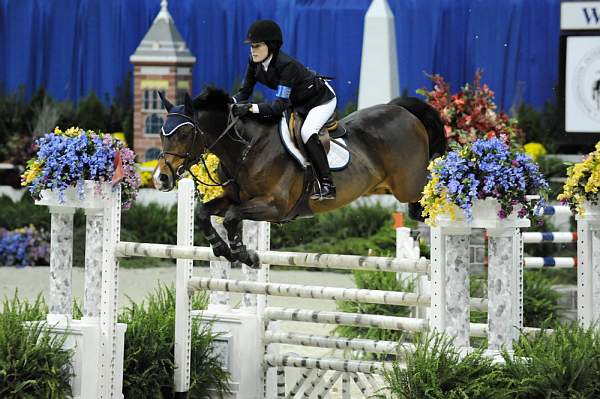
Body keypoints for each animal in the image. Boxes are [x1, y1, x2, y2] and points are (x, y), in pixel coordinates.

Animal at [155, 87, 446, 268]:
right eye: (161, 132)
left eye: (184, 134)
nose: (161, 178)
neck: (245, 149)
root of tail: (402, 111)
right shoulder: (234, 197)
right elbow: (204, 213)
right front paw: (224, 249)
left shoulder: (274, 206)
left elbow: (230, 217)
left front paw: (244, 255)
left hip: (408, 185)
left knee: (425, 194)